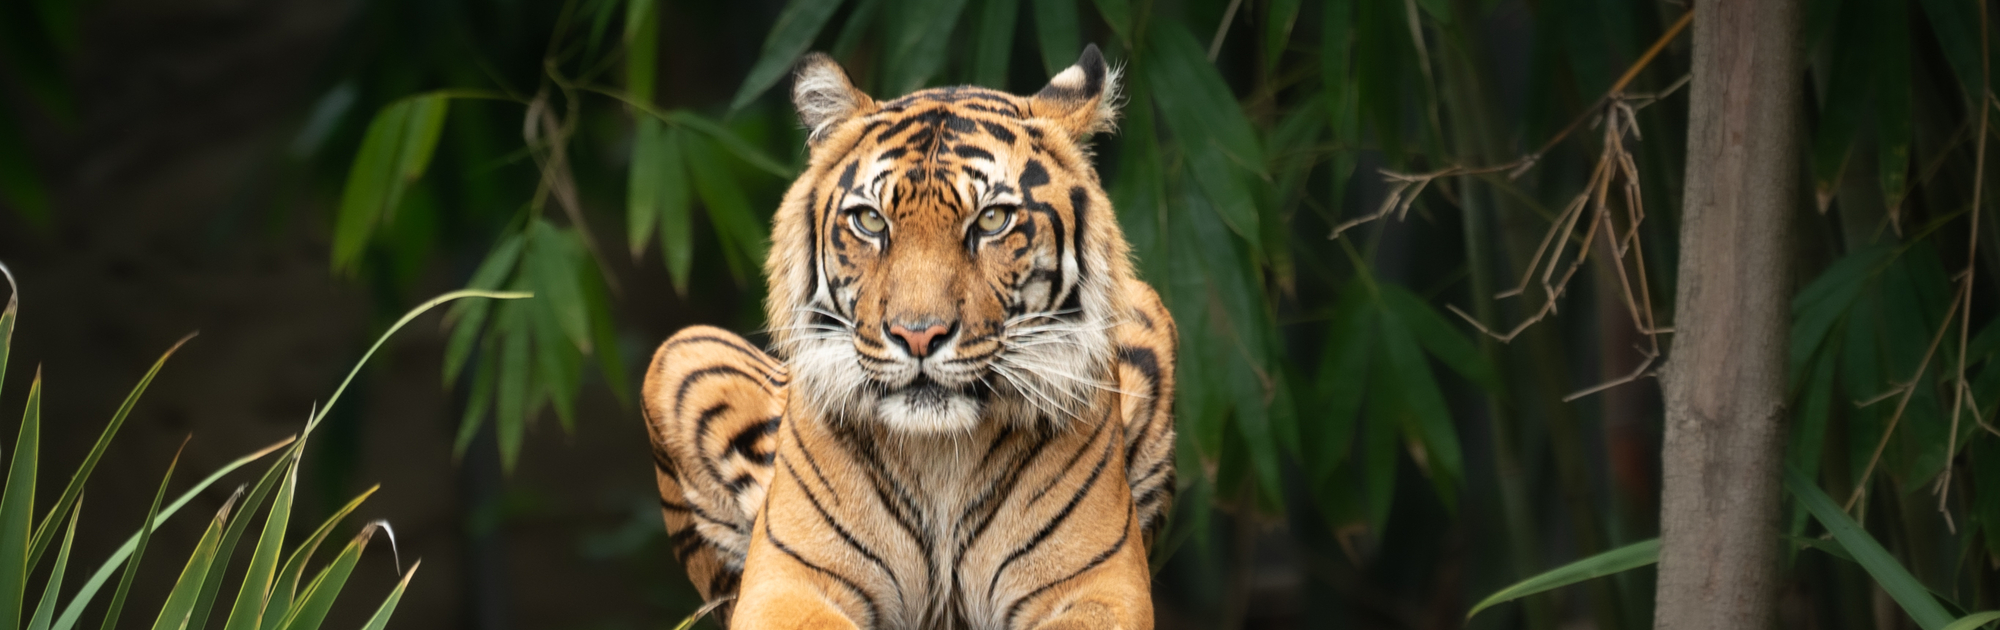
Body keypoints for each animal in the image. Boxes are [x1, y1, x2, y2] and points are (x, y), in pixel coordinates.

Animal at [640, 45, 1177, 630]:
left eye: (992, 219)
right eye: (872, 222)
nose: (918, 337)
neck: (939, 457)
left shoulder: (1098, 585)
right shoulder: (786, 581)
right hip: (681, 352)